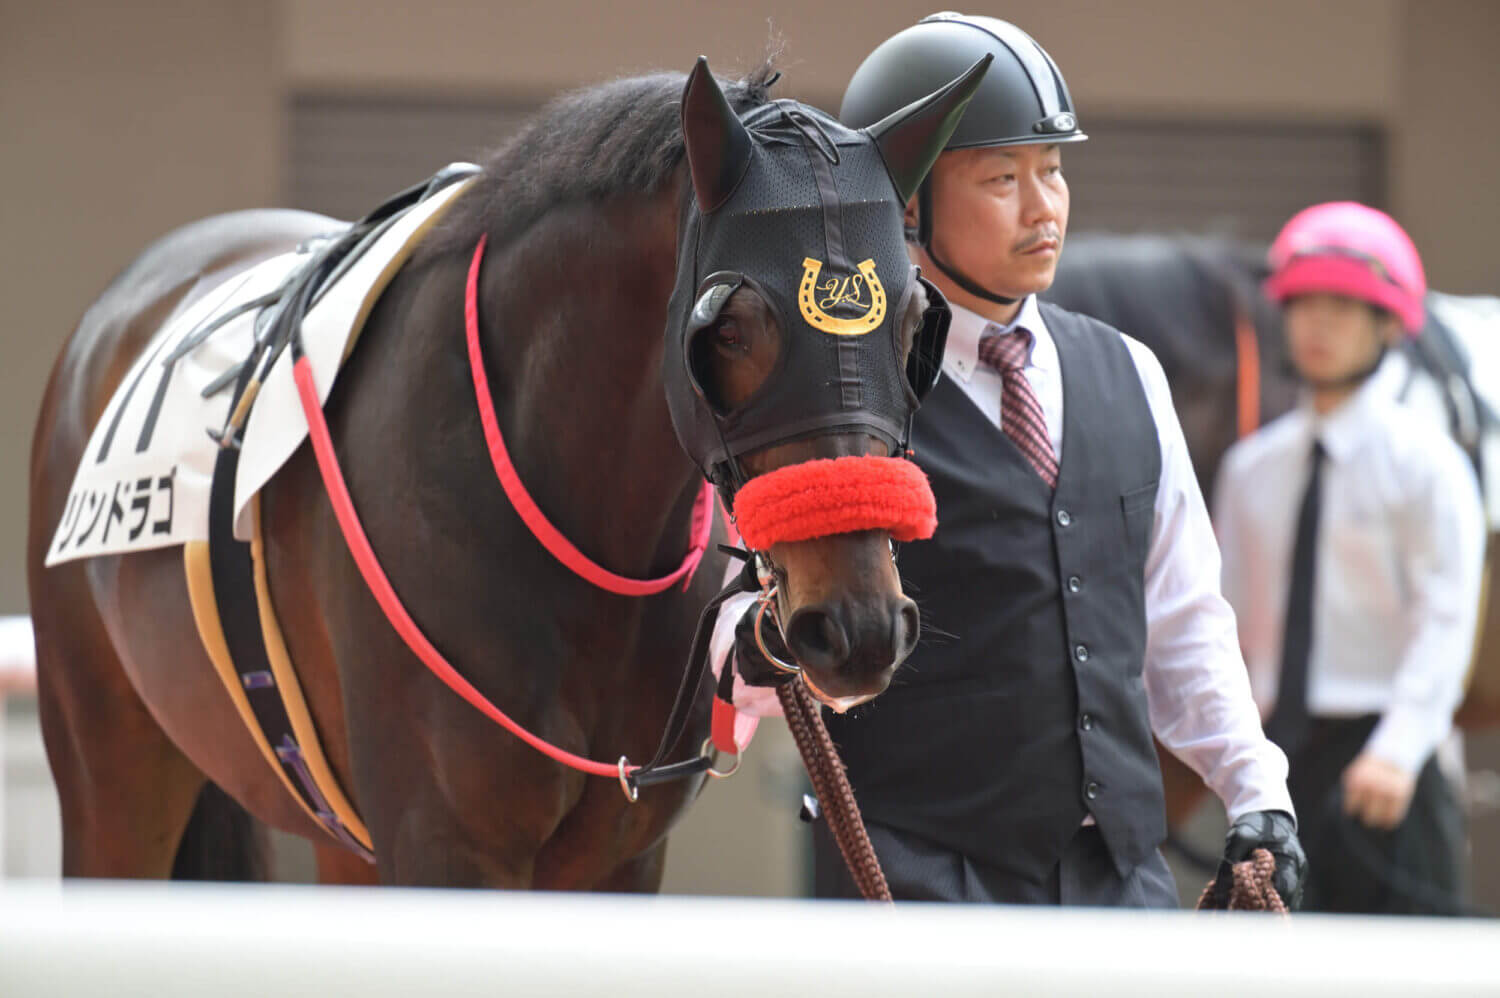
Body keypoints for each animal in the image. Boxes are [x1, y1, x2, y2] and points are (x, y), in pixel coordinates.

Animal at [26, 60, 984, 888]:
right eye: (729, 326)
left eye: (914, 320)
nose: (855, 626)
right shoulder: (447, 847)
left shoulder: (618, 860)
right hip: (111, 772)